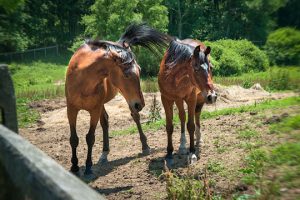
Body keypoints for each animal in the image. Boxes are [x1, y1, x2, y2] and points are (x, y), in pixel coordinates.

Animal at [65, 23, 171, 174]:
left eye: (139, 70)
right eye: (126, 75)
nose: (141, 104)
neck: (83, 80)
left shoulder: (94, 110)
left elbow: (90, 137)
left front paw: (89, 168)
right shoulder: (71, 109)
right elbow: (74, 138)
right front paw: (74, 167)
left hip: (126, 100)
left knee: (135, 116)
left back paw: (145, 146)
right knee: (105, 121)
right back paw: (104, 154)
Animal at [158, 38, 217, 166]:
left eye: (211, 67)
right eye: (195, 67)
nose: (212, 96)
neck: (173, 76)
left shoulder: (191, 98)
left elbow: (191, 125)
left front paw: (192, 153)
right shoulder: (166, 99)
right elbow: (169, 126)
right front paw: (169, 154)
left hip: (199, 98)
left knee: (197, 115)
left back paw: (198, 140)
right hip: (179, 100)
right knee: (182, 117)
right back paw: (182, 146)